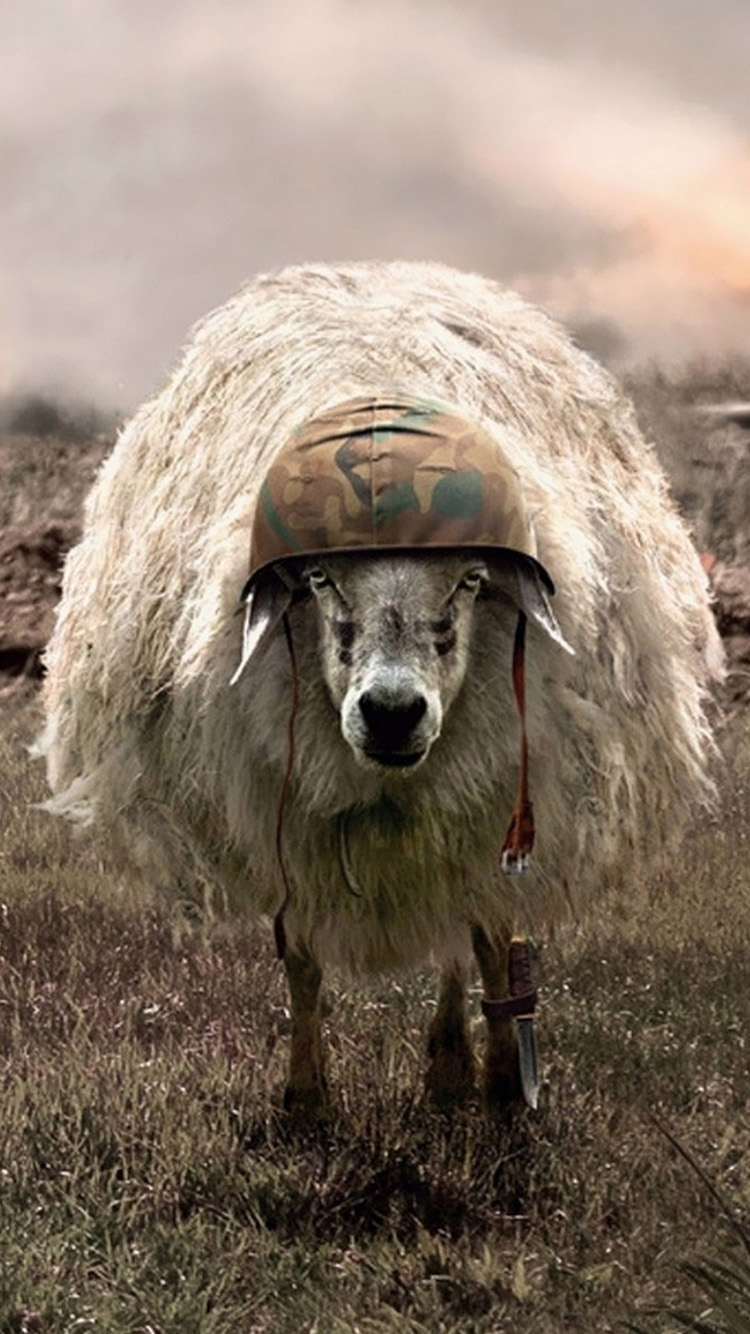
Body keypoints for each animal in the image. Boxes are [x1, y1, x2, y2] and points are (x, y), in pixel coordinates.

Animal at [39, 259, 723, 1113]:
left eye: (471, 580)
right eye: (321, 579)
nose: (392, 713)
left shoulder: (497, 794)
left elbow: (490, 938)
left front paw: (502, 1082)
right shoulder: (285, 808)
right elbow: (301, 961)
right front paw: (305, 1097)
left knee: (467, 930)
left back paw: (453, 1064)